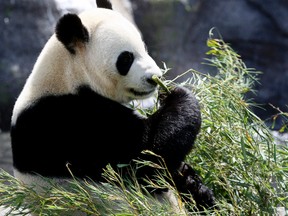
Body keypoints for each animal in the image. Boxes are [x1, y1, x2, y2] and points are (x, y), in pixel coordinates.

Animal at [10, 0, 216, 213]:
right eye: (126, 58)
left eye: (144, 48)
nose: (154, 78)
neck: (68, 75)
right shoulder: (70, 120)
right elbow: (145, 158)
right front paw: (178, 96)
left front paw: (194, 183)